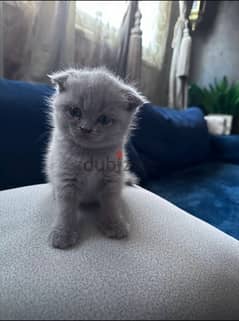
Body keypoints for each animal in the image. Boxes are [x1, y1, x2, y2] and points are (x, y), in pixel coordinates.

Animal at [45, 66, 145, 249]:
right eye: (75, 111)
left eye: (104, 119)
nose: (85, 128)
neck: (89, 156)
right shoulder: (66, 179)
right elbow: (66, 210)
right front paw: (62, 234)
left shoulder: (112, 180)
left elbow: (111, 205)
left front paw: (115, 225)